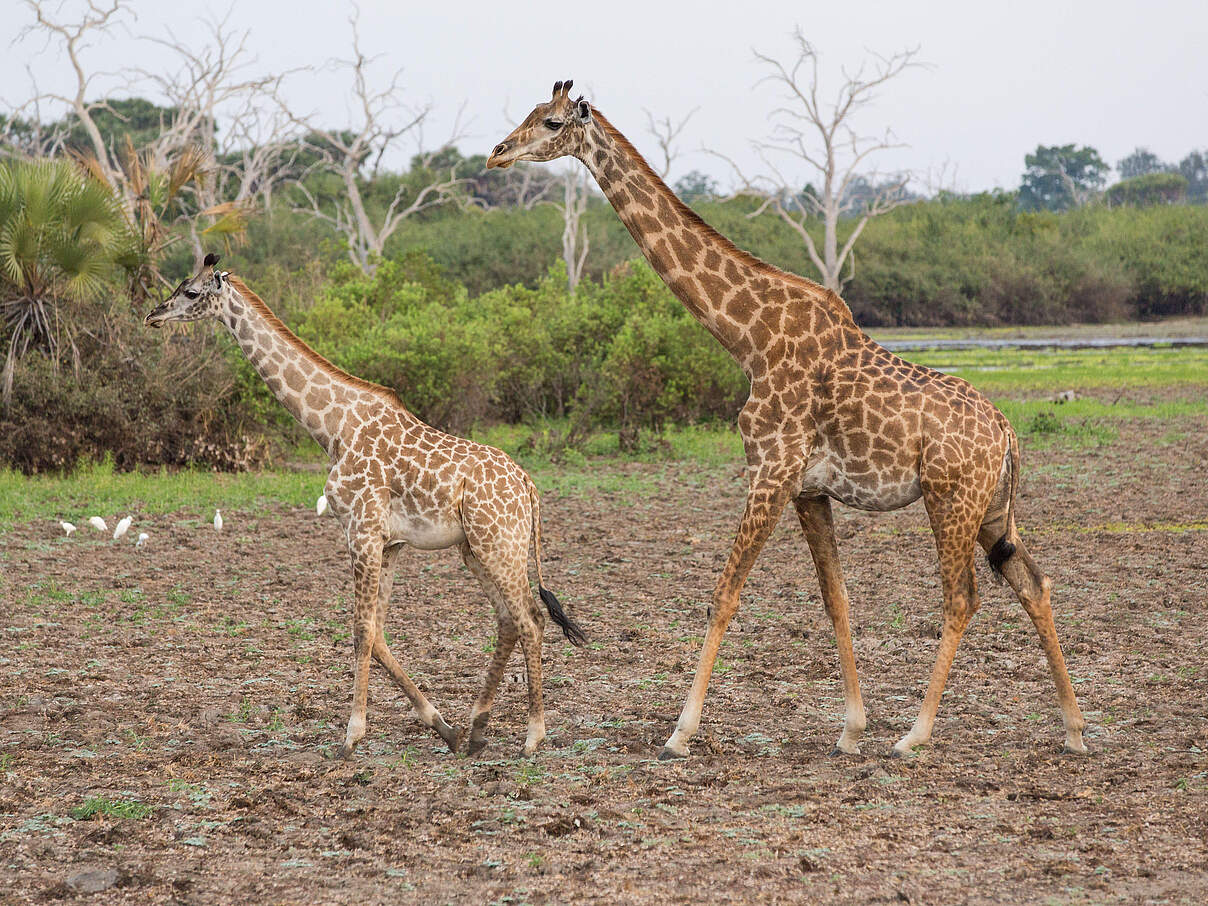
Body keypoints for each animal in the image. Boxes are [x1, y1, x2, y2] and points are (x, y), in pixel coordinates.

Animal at [143, 253, 587, 758]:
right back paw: (475, 729)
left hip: (499, 544)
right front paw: (441, 725)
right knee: (510, 620)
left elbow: (359, 631)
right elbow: (377, 633)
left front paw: (352, 734)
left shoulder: (360, 530)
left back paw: (533, 735)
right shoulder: (389, 542)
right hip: (476, 549)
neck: (332, 427)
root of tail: (529, 486)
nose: (153, 315)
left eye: (191, 292)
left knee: (531, 619)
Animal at [485, 81, 1092, 758]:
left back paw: (915, 735)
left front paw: (680, 732)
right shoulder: (808, 488)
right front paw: (850, 728)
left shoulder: (770, 471)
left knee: (962, 598)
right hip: (992, 509)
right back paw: (1073, 729)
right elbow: (836, 600)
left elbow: (723, 595)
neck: (747, 338)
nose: (497, 152)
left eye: (551, 122)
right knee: (1032, 582)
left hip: (951, 499)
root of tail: (1007, 431)